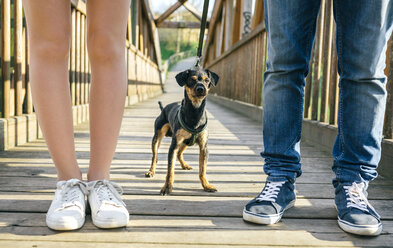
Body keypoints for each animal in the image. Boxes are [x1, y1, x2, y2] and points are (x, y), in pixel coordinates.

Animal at [145, 67, 219, 195]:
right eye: (192, 80)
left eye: (207, 80)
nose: (201, 88)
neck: (195, 112)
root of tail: (163, 108)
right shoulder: (173, 146)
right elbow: (170, 170)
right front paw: (167, 187)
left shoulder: (204, 147)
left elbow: (202, 170)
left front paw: (206, 185)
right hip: (157, 137)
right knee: (155, 156)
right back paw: (151, 171)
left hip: (185, 142)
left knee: (180, 153)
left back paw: (184, 165)